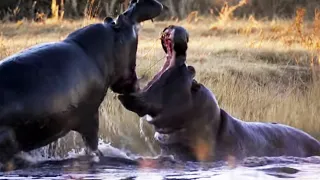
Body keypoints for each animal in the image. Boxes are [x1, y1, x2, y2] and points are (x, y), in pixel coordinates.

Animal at [0, 0, 164, 170]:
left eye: (112, 18)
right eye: (123, 18)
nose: (136, 3)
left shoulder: (56, 124)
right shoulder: (90, 116)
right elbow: (92, 145)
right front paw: (99, 157)